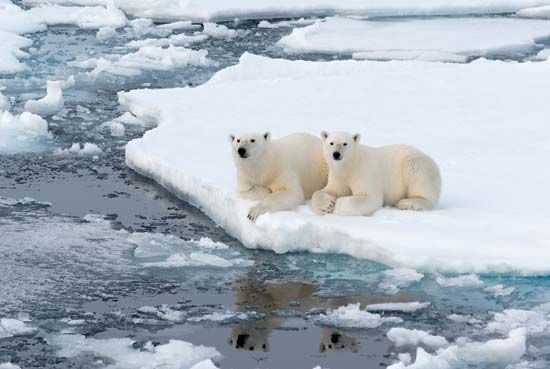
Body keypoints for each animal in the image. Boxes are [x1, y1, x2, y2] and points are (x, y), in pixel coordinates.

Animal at [312, 131, 442, 216]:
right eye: (331, 143)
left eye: (345, 143)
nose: (336, 154)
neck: (350, 165)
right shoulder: (338, 175)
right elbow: (328, 190)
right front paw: (327, 205)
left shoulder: (364, 172)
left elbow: (370, 197)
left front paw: (337, 205)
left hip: (416, 164)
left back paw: (408, 203)